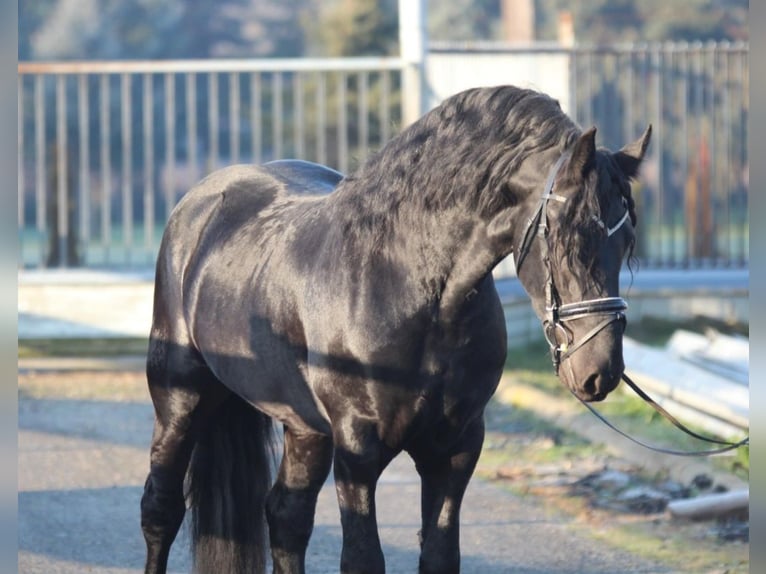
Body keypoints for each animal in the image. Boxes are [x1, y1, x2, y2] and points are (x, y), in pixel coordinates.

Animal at [141, 86, 652, 574]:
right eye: (567, 237)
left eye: (626, 239)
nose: (600, 370)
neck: (408, 289)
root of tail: (201, 202)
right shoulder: (357, 453)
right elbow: (363, 559)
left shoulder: (455, 449)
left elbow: (440, 555)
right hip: (180, 400)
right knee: (161, 509)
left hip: (304, 428)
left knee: (286, 518)